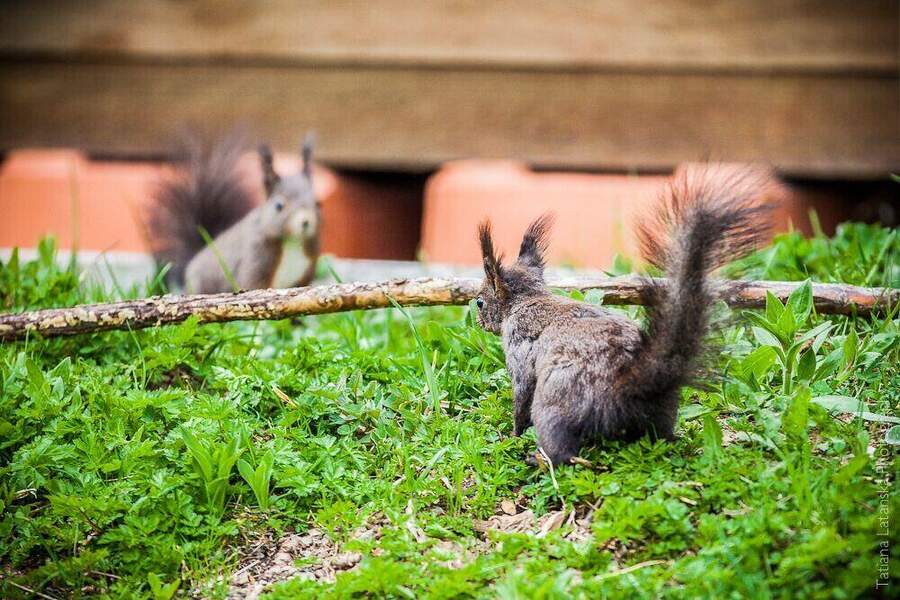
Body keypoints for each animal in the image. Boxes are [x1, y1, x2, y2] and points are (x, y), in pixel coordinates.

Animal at [146, 133, 321, 294]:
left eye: (317, 203)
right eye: (279, 206)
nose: (305, 222)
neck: (293, 242)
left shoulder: (306, 271)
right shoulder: (254, 260)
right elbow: (253, 285)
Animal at [474, 168, 772, 466]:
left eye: (479, 302)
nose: (479, 322)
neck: (528, 299)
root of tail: (634, 381)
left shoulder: (519, 348)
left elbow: (522, 393)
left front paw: (514, 434)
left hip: (557, 399)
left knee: (561, 448)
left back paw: (540, 458)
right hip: (662, 411)